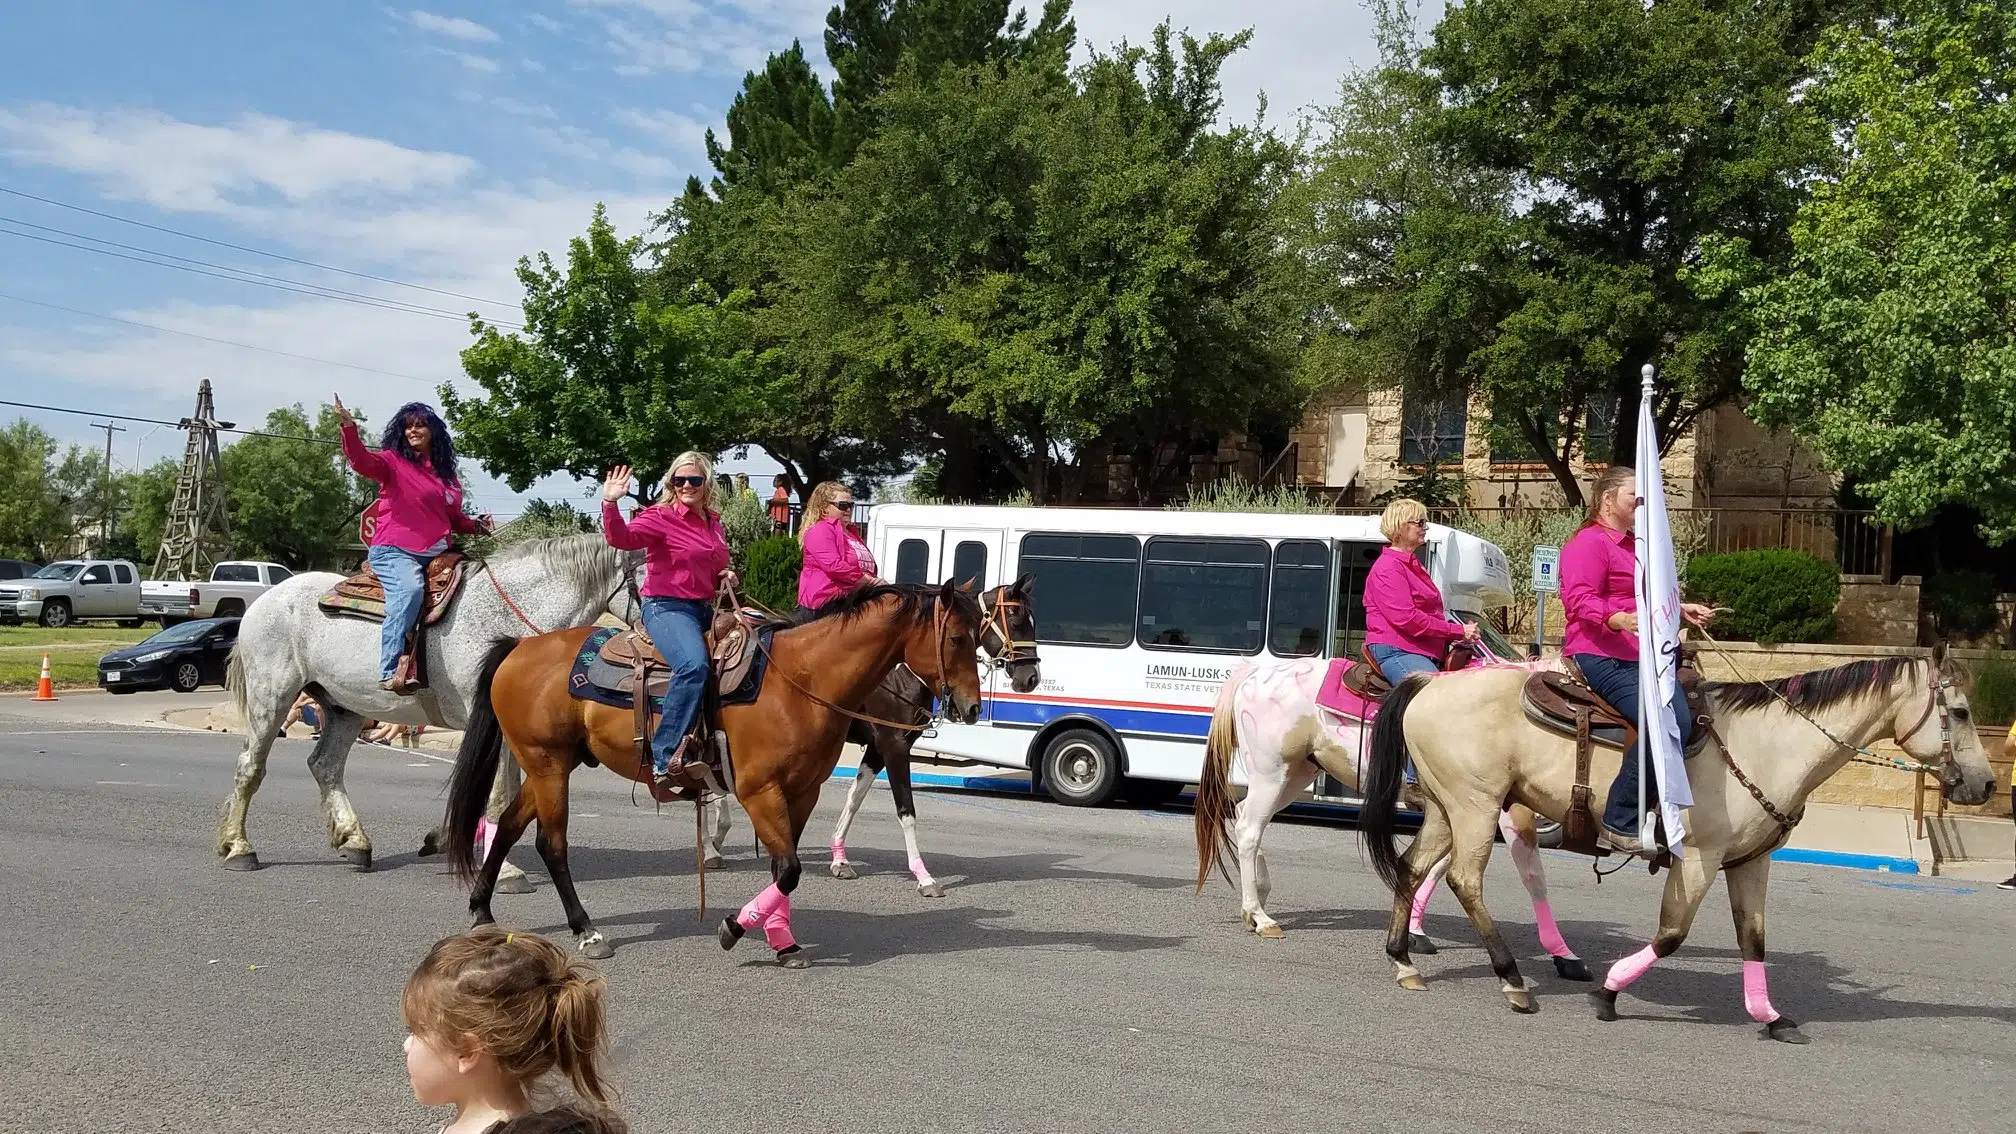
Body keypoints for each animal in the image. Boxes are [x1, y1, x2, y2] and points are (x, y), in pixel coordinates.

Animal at [445, 581, 987, 960]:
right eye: (958, 637)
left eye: (979, 635)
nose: (972, 708)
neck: (804, 679)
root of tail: (519, 647)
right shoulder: (759, 790)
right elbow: (790, 869)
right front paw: (733, 927)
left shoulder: (802, 792)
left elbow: (783, 870)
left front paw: (782, 941)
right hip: (549, 764)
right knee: (550, 844)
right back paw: (587, 931)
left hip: (549, 764)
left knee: (509, 826)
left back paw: (481, 911)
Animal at [1193, 653, 1588, 980]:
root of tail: (1255, 672)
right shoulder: (1501, 811)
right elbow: (1532, 875)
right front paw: (1565, 955)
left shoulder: (1459, 811)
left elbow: (1435, 867)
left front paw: (1414, 933)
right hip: (1273, 772)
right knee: (1249, 828)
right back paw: (1260, 917)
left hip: (1295, 775)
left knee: (1247, 817)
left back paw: (1258, 896)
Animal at [1354, 645, 1999, 1033]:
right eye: (1961, 712)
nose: (1988, 783)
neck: (1767, 745)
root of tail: (1429, 683)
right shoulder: (1699, 857)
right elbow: (1671, 935)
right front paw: (1610, 993)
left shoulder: (1750, 861)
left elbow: (1753, 938)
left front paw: (1769, 1015)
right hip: (1475, 807)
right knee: (1465, 880)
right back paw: (1513, 980)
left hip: (1448, 809)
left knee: (1412, 869)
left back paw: (1404, 960)